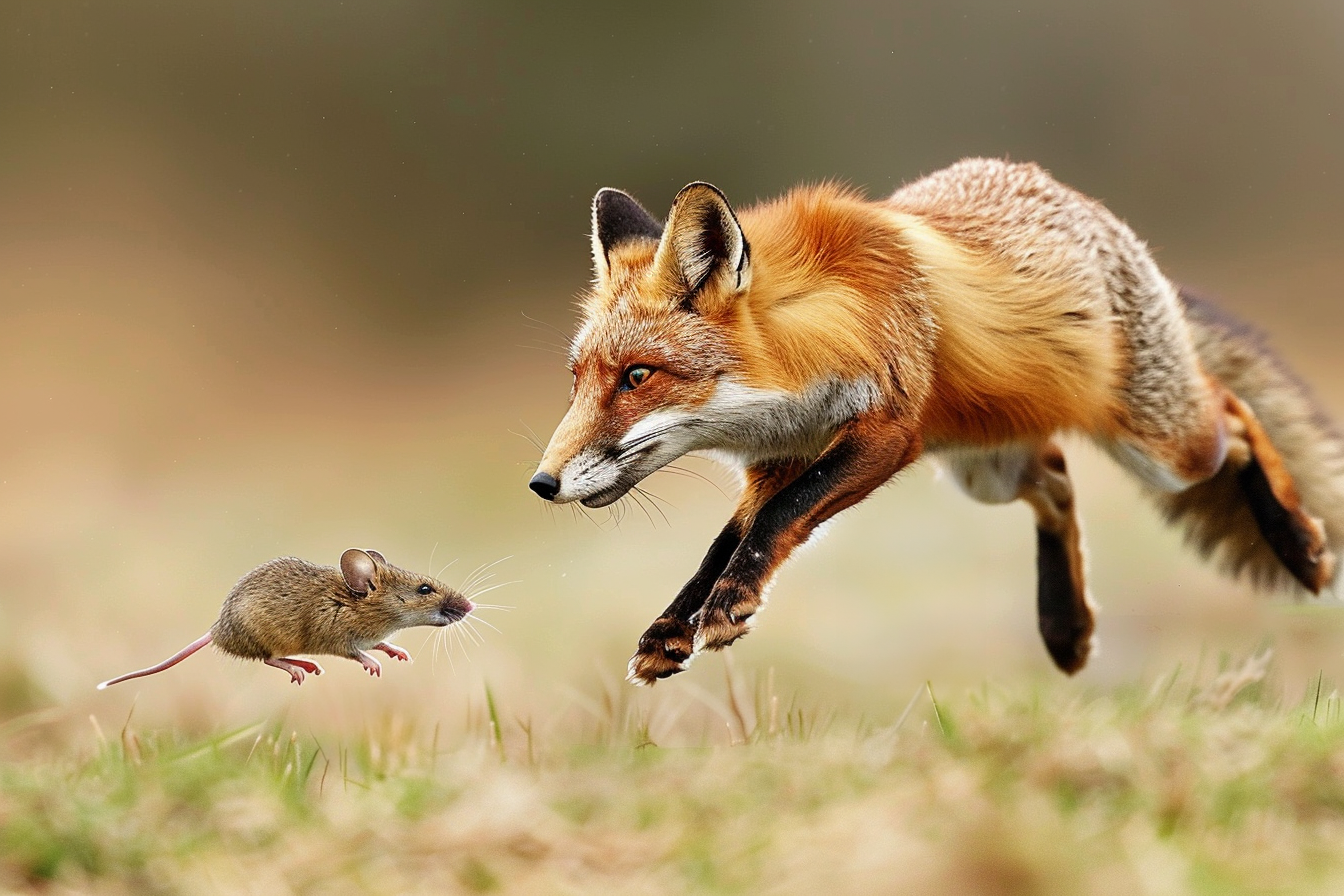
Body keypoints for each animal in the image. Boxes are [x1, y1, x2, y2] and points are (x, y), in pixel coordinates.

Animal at [528, 158, 1344, 686]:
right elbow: (724, 543)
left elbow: (776, 524)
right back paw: (1065, 627)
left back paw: (1300, 546)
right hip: (986, 470)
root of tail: (1076, 197)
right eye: (577, 379)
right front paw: (673, 628)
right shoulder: (777, 460)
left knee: (1233, 412)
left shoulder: (888, 431)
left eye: (637, 377)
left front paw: (727, 607)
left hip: (1165, 448)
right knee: (1055, 480)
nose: (542, 483)